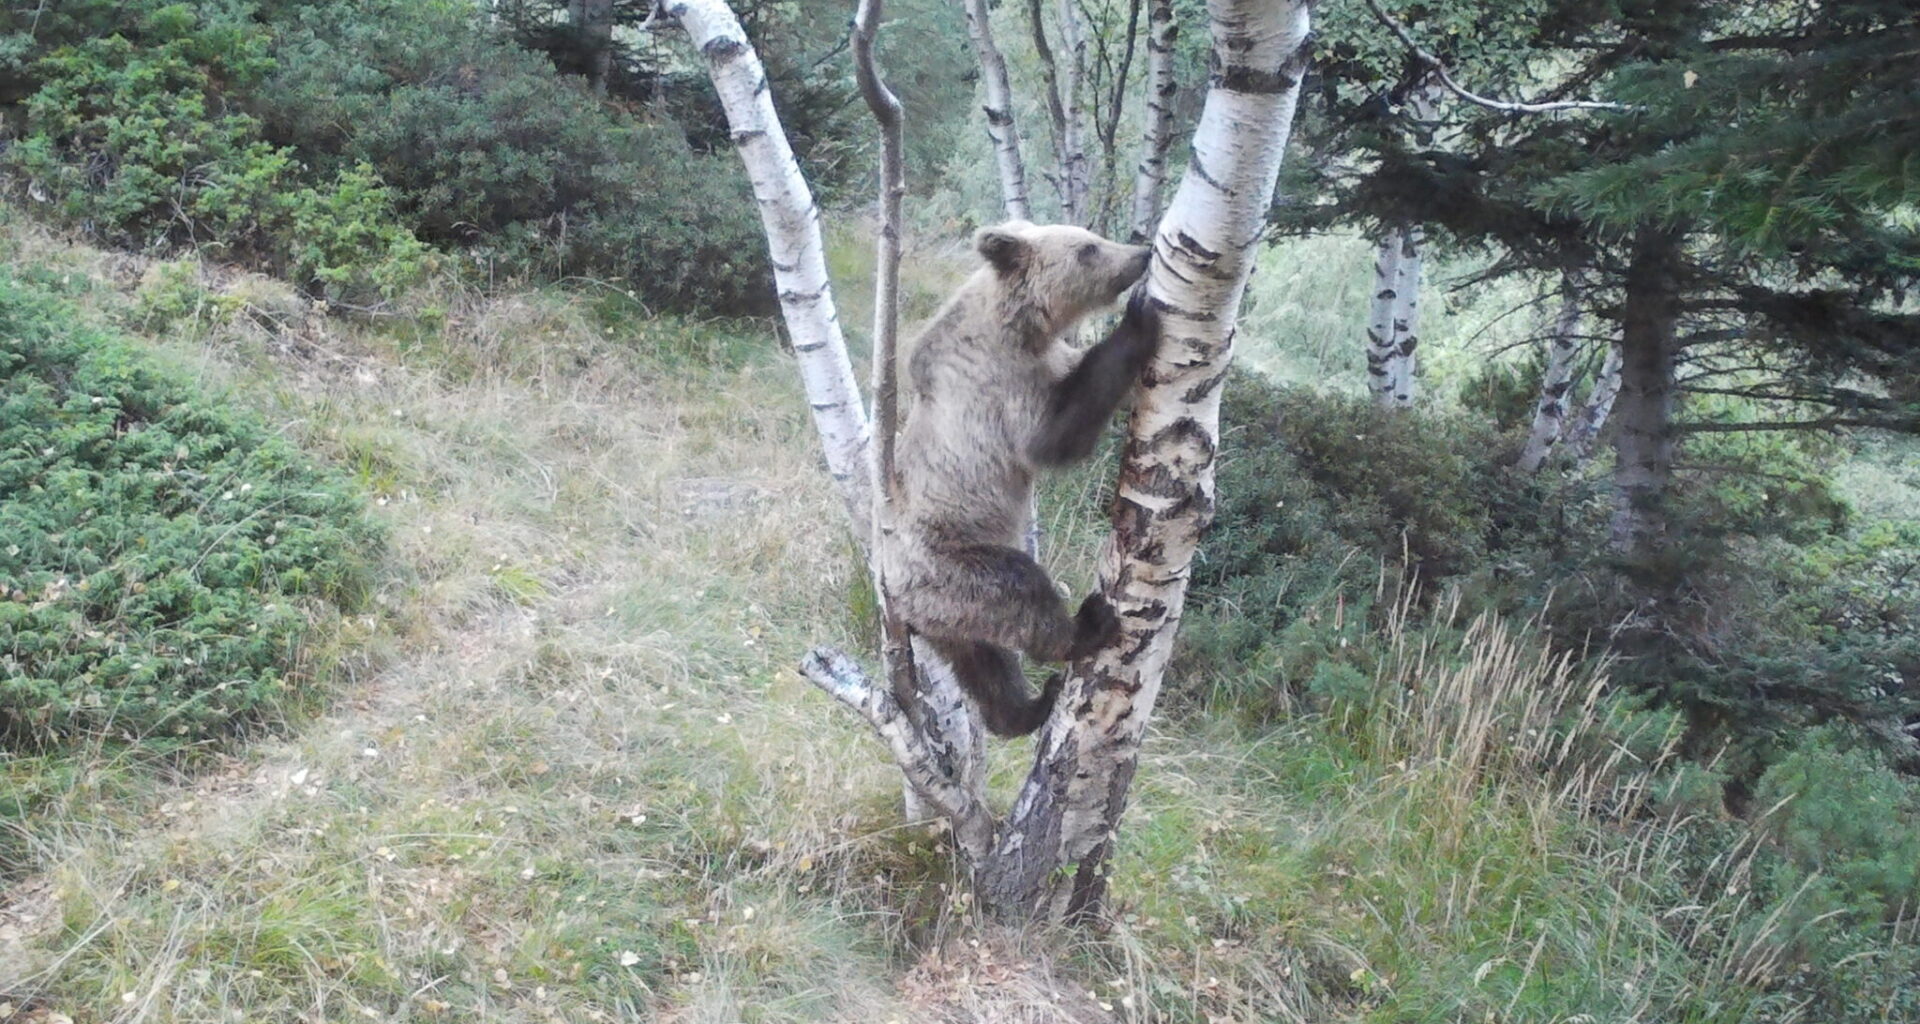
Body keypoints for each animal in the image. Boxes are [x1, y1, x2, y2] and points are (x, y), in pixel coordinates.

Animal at [882, 219, 1161, 737]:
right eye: (1088, 248)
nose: (1141, 254)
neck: (1022, 329)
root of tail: (898, 598)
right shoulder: (998, 387)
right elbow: (1054, 437)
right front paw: (1137, 320)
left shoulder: (1047, 360)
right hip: (954, 567)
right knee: (1021, 592)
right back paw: (1084, 628)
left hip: (947, 617)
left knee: (984, 663)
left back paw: (1022, 710)